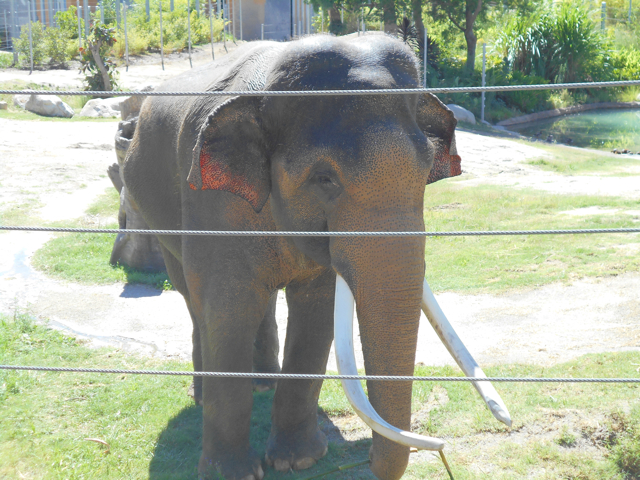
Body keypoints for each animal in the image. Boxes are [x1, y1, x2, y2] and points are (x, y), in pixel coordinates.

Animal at [123, 34, 510, 480]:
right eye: (324, 179)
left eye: (427, 168)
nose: (438, 446)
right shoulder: (210, 206)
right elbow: (228, 309)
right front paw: (232, 473)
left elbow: (317, 311)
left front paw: (299, 460)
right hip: (158, 217)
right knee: (192, 297)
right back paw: (205, 394)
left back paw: (264, 384)